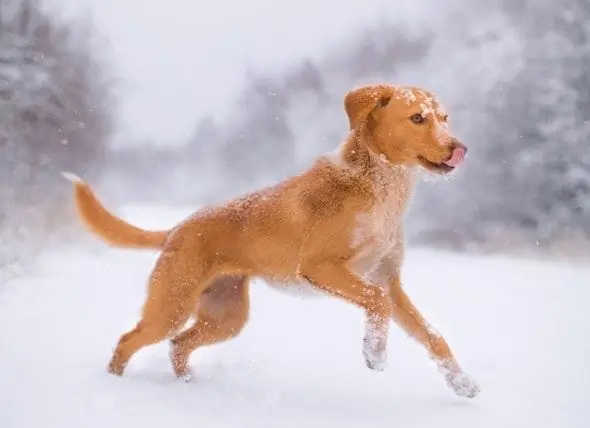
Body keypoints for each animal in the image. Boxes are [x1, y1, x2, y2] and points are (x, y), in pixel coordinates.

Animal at [63, 83, 480, 398]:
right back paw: (113, 385)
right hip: (171, 306)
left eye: (444, 118)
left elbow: (433, 337)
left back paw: (186, 385)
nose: (460, 148)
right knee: (128, 339)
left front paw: (461, 382)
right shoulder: (322, 268)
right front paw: (374, 353)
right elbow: (376, 304)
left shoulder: (388, 280)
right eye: (417, 118)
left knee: (178, 344)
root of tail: (180, 226)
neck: (381, 189)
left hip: (227, 316)